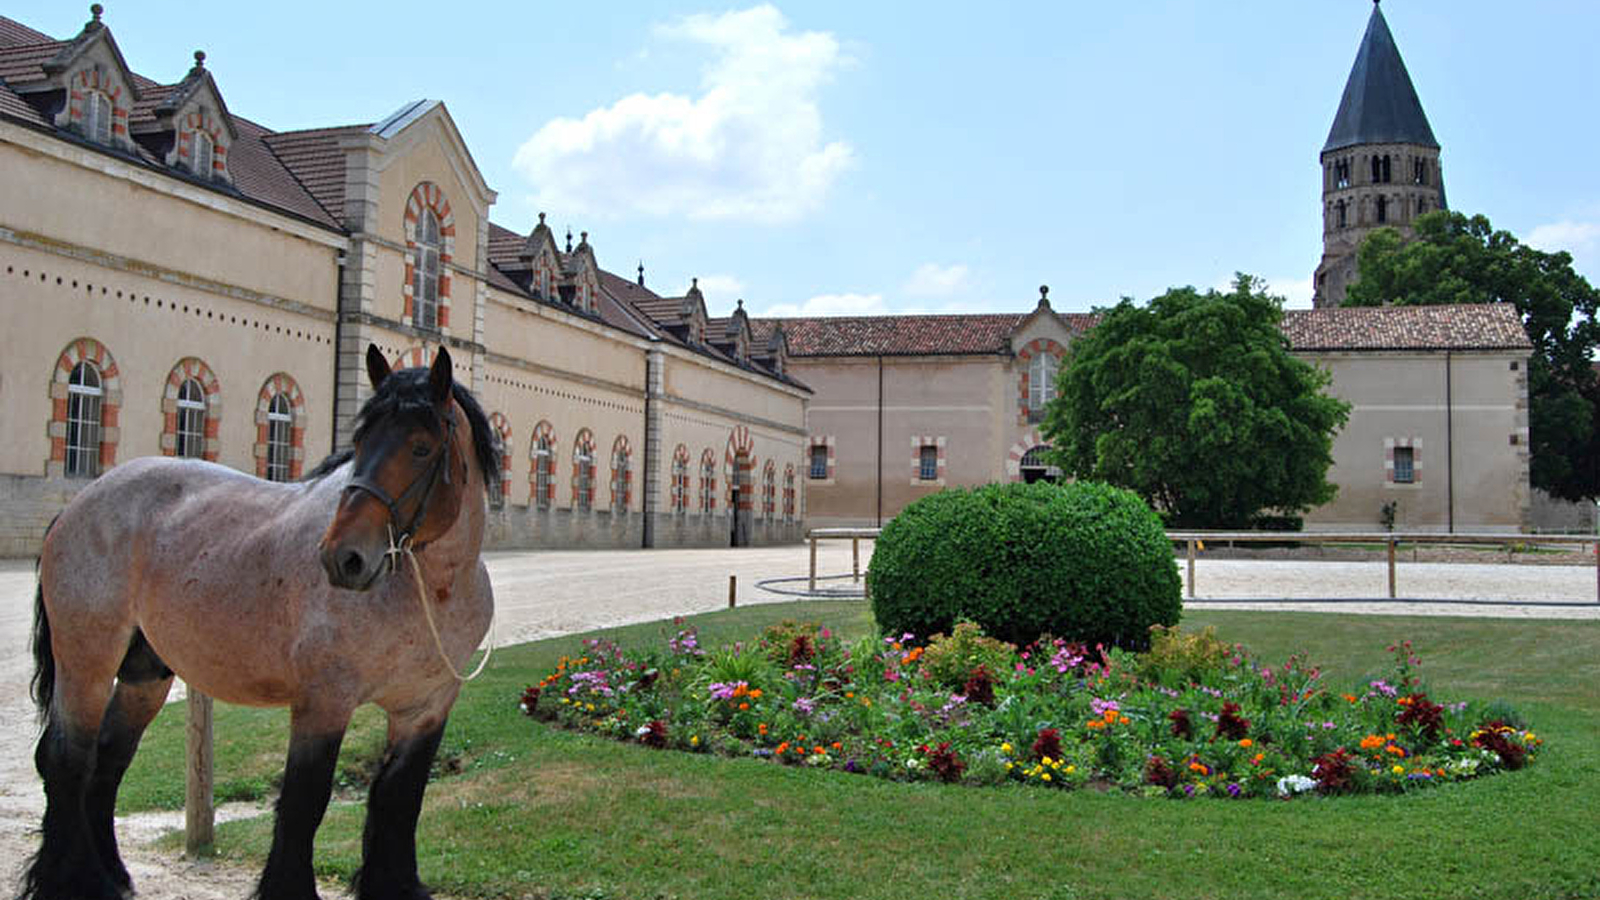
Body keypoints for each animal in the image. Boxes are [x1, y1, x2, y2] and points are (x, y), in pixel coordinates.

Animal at [23, 344, 499, 896]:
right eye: (361, 440)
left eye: (421, 447)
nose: (344, 558)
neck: (428, 589)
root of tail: (80, 503)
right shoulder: (324, 703)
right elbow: (303, 803)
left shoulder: (425, 709)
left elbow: (400, 800)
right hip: (88, 664)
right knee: (67, 760)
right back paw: (77, 881)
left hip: (144, 675)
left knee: (107, 762)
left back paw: (114, 875)